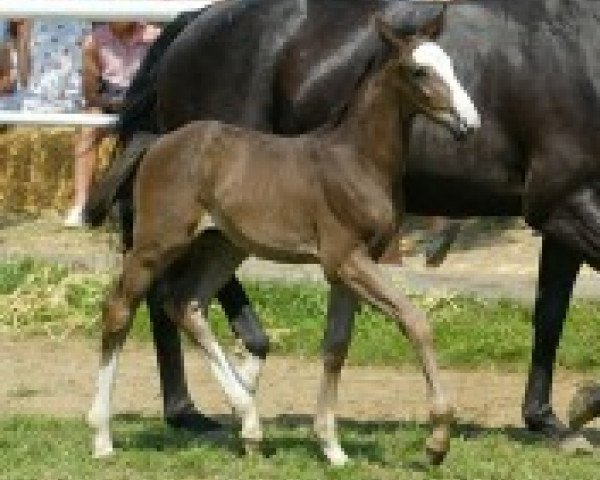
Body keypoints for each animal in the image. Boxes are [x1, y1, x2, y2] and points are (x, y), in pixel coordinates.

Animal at [89, 18, 480, 464]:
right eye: (418, 71)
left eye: (450, 64)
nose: (469, 122)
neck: (357, 159)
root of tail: (159, 140)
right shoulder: (345, 257)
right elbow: (415, 321)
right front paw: (438, 439)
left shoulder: (350, 267)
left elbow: (336, 346)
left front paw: (332, 447)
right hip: (157, 242)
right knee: (120, 310)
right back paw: (102, 437)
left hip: (224, 245)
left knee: (185, 303)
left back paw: (249, 421)